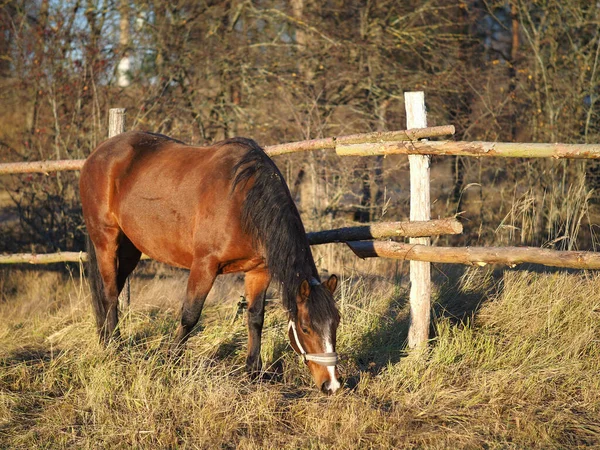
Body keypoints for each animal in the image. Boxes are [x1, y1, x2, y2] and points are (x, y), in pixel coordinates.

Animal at [80, 131, 342, 394]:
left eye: (336, 323)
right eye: (306, 327)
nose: (332, 384)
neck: (243, 202)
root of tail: (97, 154)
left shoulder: (259, 271)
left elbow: (256, 318)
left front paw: (254, 371)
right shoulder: (205, 265)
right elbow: (190, 315)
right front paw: (170, 361)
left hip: (130, 249)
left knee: (112, 291)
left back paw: (106, 341)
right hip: (106, 241)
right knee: (109, 295)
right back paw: (115, 347)